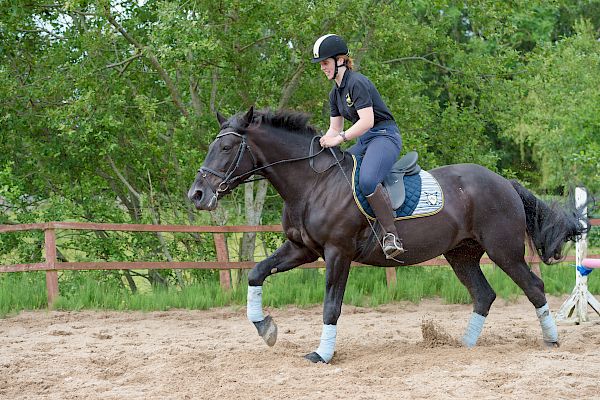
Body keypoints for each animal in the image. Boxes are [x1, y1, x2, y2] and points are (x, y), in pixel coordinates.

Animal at [189, 106, 584, 362]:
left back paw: (550, 341)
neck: (313, 183)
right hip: (462, 254)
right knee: (484, 294)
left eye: (226, 147)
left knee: (533, 286)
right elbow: (256, 273)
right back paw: (464, 345)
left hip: (504, 251)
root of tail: (503, 182)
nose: (197, 194)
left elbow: (331, 305)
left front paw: (322, 354)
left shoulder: (337, 252)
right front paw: (265, 328)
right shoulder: (301, 249)